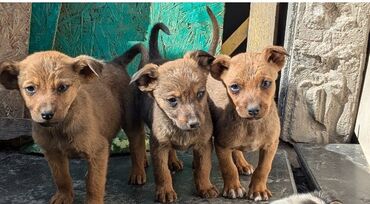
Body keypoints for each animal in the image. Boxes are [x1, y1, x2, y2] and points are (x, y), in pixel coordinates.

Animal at [0, 45, 146, 204]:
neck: (60, 127)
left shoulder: (98, 149)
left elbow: (94, 183)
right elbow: (62, 178)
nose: (47, 114)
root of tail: (116, 63)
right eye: (30, 88)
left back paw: (138, 171)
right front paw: (64, 196)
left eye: (63, 87)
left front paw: (93, 201)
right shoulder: (53, 153)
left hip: (131, 120)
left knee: (137, 144)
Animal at [129, 6, 220, 202]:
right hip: (135, 122)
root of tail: (155, 56)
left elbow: (204, 168)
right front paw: (165, 191)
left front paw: (205, 187)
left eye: (201, 94)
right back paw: (139, 169)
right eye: (172, 101)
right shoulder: (159, 146)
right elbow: (162, 172)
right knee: (137, 146)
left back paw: (174, 161)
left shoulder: (203, 145)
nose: (195, 124)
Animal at [207, 45, 288, 201]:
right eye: (234, 87)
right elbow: (228, 168)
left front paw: (258, 190)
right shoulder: (222, 145)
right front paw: (233, 188)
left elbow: (263, 168)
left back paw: (242, 164)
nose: (253, 110)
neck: (252, 126)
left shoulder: (271, 145)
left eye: (266, 83)